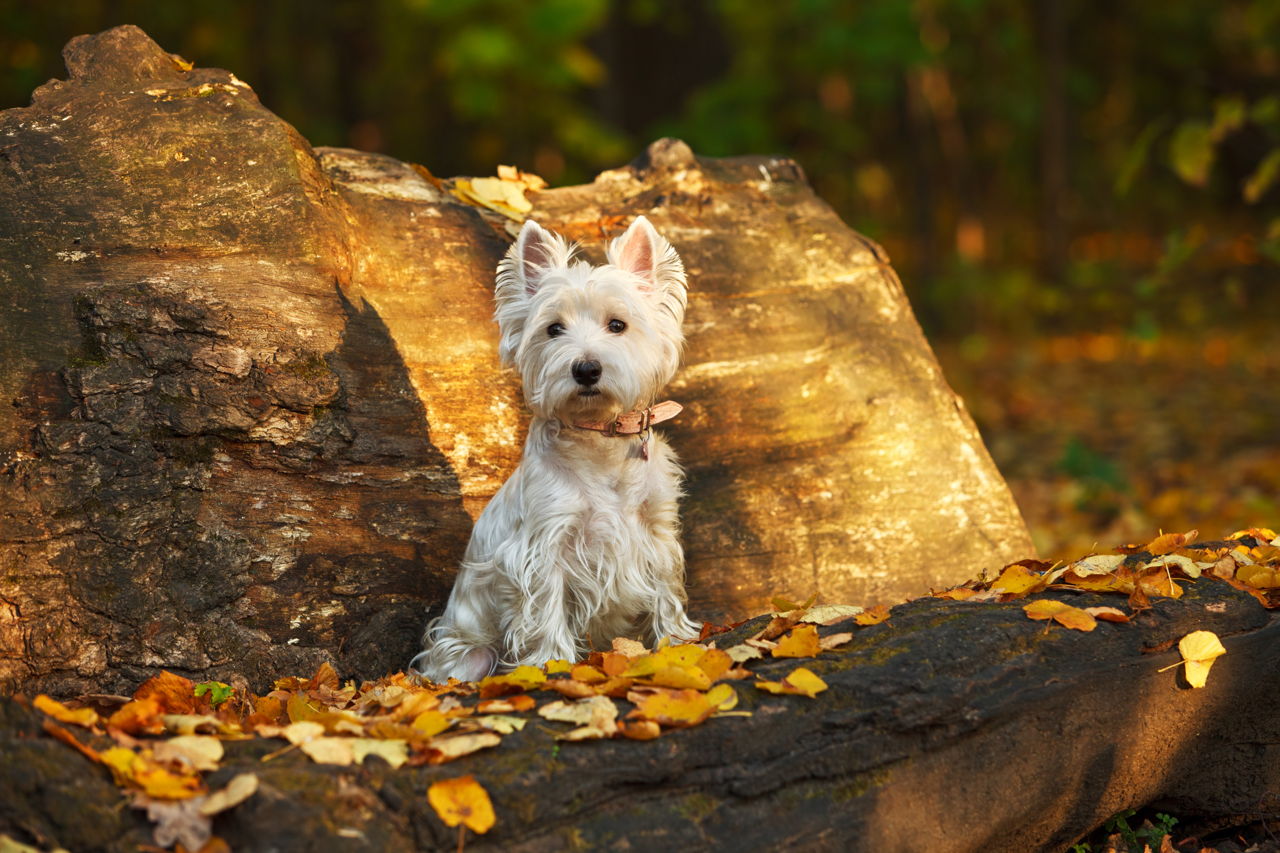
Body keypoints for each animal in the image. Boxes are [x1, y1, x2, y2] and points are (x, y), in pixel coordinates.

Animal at [409, 216, 706, 681]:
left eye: (617, 325)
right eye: (553, 329)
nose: (585, 369)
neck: (600, 438)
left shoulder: (656, 530)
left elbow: (666, 587)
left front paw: (676, 641)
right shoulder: (544, 545)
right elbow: (545, 606)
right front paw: (551, 662)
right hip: (469, 654)